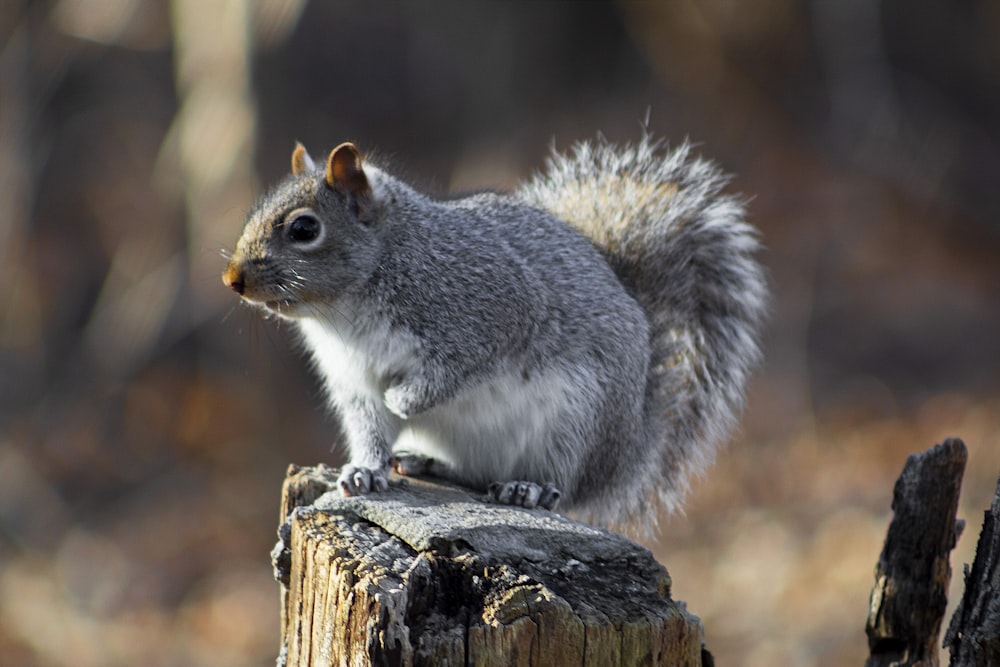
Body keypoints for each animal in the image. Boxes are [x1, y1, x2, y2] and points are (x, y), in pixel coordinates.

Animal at [221, 136, 764, 528]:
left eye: (304, 229)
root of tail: (627, 451)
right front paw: (365, 469)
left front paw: (406, 399)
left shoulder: (497, 312)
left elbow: (452, 372)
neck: (345, 313)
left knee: (562, 481)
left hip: (578, 418)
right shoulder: (354, 381)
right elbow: (371, 425)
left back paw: (529, 488)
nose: (232, 280)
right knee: (475, 473)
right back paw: (426, 463)